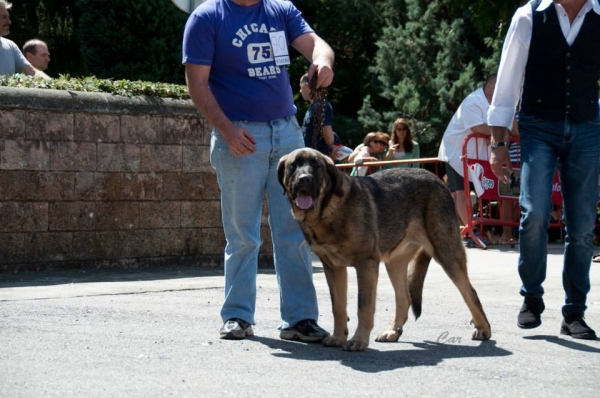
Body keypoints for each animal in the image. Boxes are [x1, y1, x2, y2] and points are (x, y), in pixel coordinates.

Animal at [278, 148, 492, 352]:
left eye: (317, 166)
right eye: (293, 165)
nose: (304, 179)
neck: (327, 210)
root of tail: (437, 180)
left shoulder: (366, 265)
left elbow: (363, 307)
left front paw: (358, 341)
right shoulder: (333, 268)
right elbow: (338, 307)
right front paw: (339, 337)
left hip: (446, 253)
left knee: (469, 291)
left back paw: (483, 328)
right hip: (394, 264)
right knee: (404, 298)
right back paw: (392, 331)